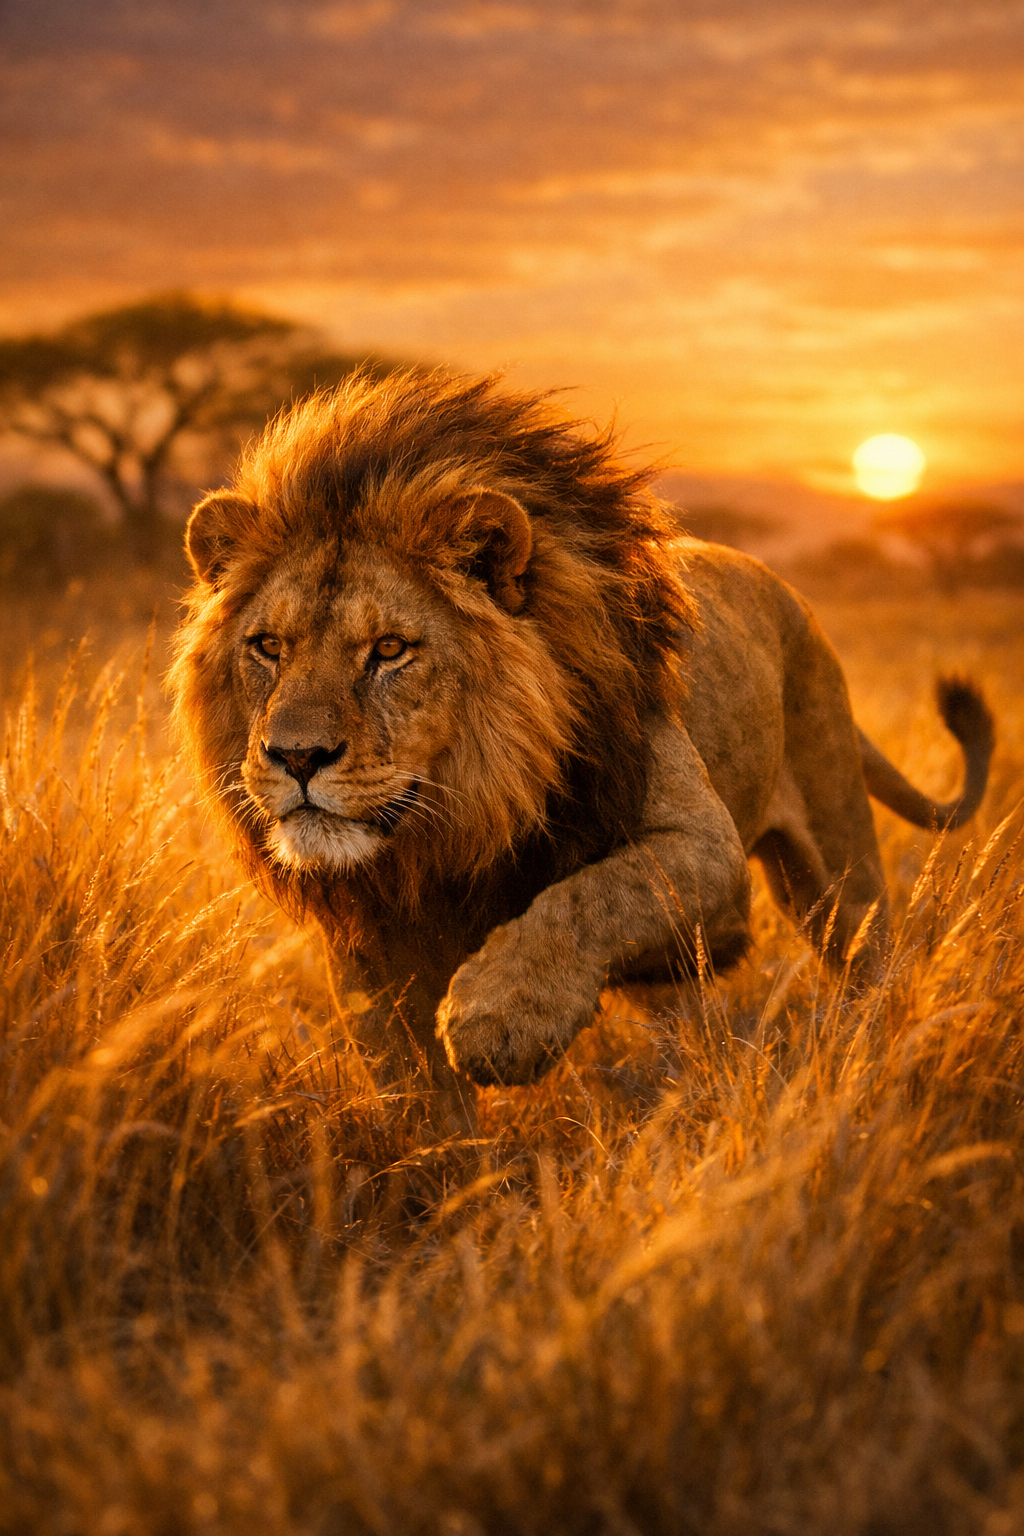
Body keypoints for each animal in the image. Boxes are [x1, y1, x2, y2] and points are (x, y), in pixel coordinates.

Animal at [170, 371, 994, 1139]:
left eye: (390, 650)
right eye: (268, 647)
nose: (296, 756)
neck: (461, 815)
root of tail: (791, 597)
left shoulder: (704, 847)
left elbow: (587, 898)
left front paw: (501, 1017)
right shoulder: (368, 942)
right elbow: (422, 1102)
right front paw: (451, 1177)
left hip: (840, 872)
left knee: (873, 969)